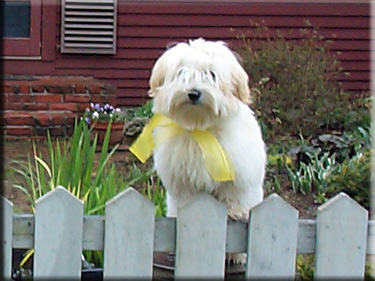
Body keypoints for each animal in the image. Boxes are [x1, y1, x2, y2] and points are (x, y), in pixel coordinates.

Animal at [148, 37, 268, 262]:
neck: (201, 129)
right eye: (182, 73)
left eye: (211, 74)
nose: (194, 93)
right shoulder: (182, 179)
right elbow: (185, 197)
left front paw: (235, 212)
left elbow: (235, 193)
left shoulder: (239, 173)